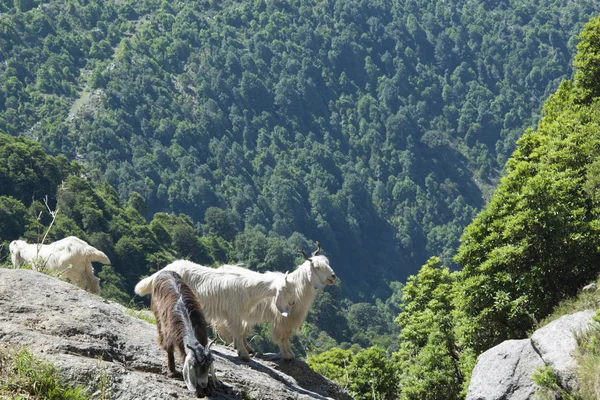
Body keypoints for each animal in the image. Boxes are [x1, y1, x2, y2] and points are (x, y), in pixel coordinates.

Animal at [135, 258, 296, 360]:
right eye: (287, 290)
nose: (293, 303)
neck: (249, 289)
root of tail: (164, 270)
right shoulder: (234, 313)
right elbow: (238, 331)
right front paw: (244, 354)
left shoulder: (240, 314)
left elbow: (241, 332)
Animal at [150, 268, 216, 396]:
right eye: (194, 365)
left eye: (209, 364)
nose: (203, 383)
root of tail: (165, 271)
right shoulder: (170, 332)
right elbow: (170, 349)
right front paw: (171, 371)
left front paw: (208, 387)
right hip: (157, 313)